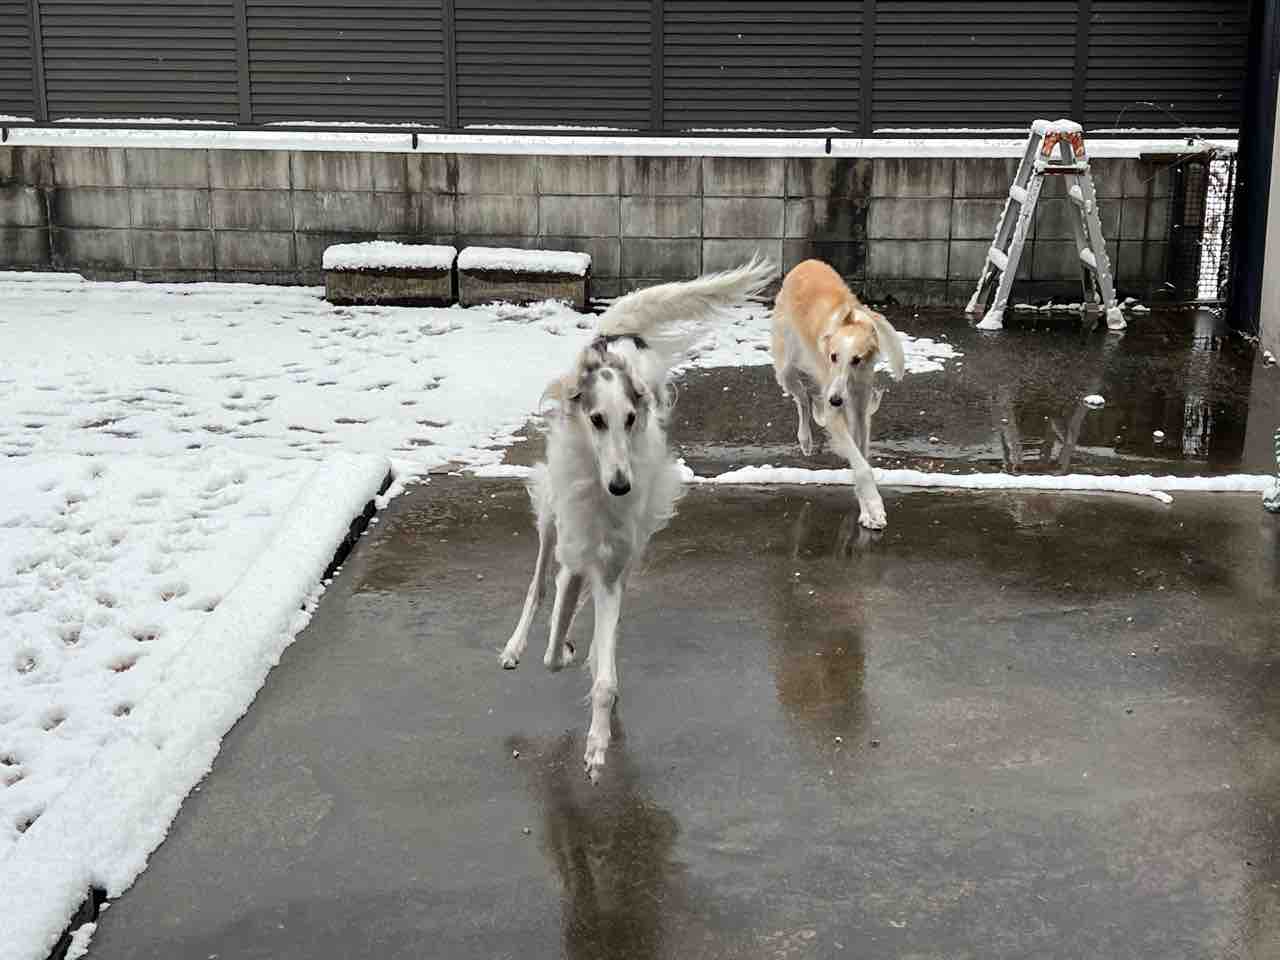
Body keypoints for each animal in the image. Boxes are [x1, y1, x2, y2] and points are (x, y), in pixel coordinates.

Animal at [500, 257, 775, 781]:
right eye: (597, 420)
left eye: (630, 418)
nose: (621, 486)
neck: (601, 489)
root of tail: (615, 337)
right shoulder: (576, 551)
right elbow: (552, 648)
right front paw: (561, 649)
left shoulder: (610, 567)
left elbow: (602, 669)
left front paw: (597, 742)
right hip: (551, 509)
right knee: (538, 582)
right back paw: (515, 645)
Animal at [771, 259, 905, 529]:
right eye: (833, 356)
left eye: (857, 359)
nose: (835, 400)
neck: (853, 322)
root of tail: (805, 263)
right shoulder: (835, 412)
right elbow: (862, 467)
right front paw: (875, 505)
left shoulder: (859, 409)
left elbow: (860, 458)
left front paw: (868, 512)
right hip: (786, 367)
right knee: (803, 398)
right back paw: (805, 440)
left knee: (806, 398)